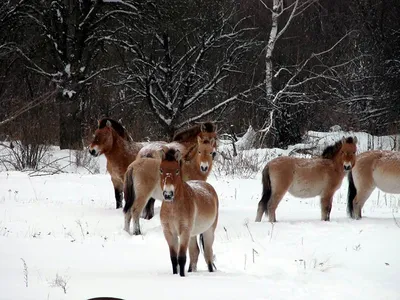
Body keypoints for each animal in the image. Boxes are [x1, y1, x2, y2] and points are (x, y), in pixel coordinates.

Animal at [158, 148, 219, 276]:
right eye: (161, 169)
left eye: (177, 170)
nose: (168, 194)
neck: (173, 209)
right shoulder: (169, 233)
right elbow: (173, 258)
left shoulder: (184, 232)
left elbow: (181, 258)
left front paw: (182, 276)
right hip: (192, 234)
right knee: (195, 252)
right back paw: (191, 271)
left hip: (209, 231)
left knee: (208, 254)